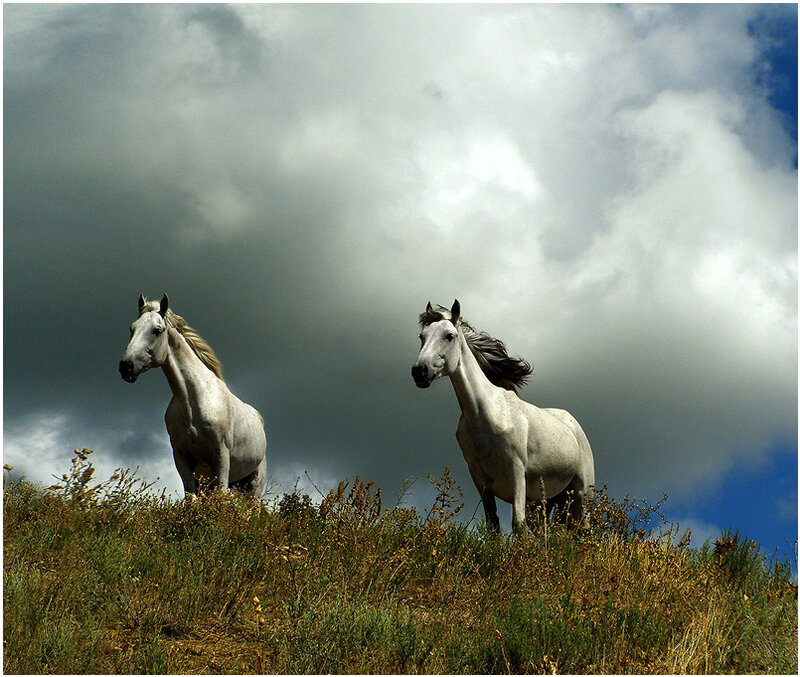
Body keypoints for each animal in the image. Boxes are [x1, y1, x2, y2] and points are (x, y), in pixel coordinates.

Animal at [119, 294, 267, 497]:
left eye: (157, 330)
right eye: (132, 328)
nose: (126, 366)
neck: (194, 404)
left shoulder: (221, 457)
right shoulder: (182, 459)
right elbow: (191, 499)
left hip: (253, 487)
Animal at [411, 300, 594, 533]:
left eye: (449, 336)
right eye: (422, 336)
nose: (419, 371)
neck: (485, 415)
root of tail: (573, 425)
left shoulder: (516, 470)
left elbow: (517, 524)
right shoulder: (478, 476)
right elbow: (493, 525)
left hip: (581, 493)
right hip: (546, 502)